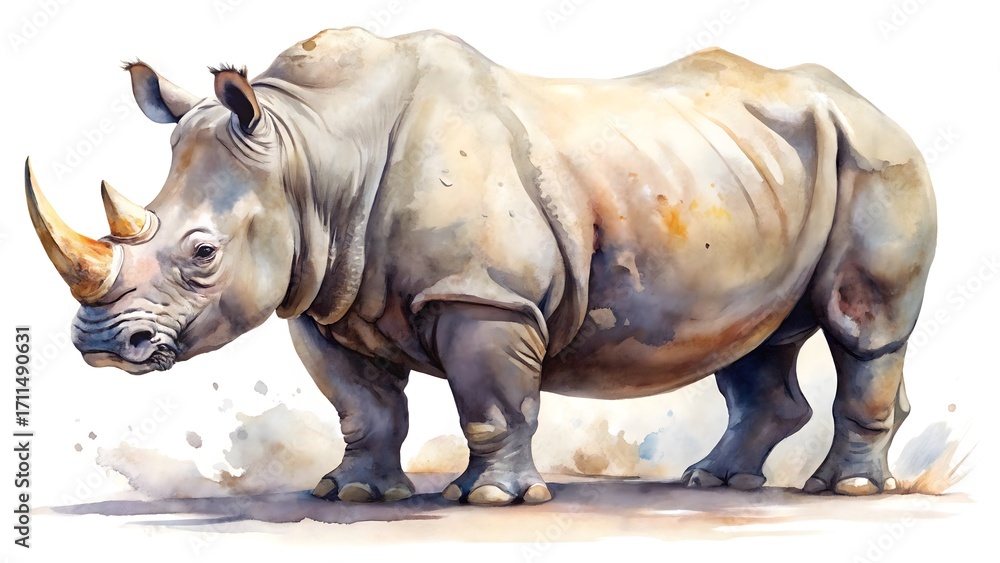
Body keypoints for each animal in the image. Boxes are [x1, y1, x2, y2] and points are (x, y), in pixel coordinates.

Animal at [25, 28, 936, 505]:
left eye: (203, 253)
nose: (100, 343)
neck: (313, 153)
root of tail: (868, 101)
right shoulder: (319, 296)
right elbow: (363, 407)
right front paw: (352, 493)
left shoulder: (483, 298)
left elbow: (493, 405)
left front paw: (493, 496)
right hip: (755, 174)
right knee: (758, 340)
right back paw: (714, 481)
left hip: (874, 155)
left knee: (864, 329)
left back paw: (844, 491)